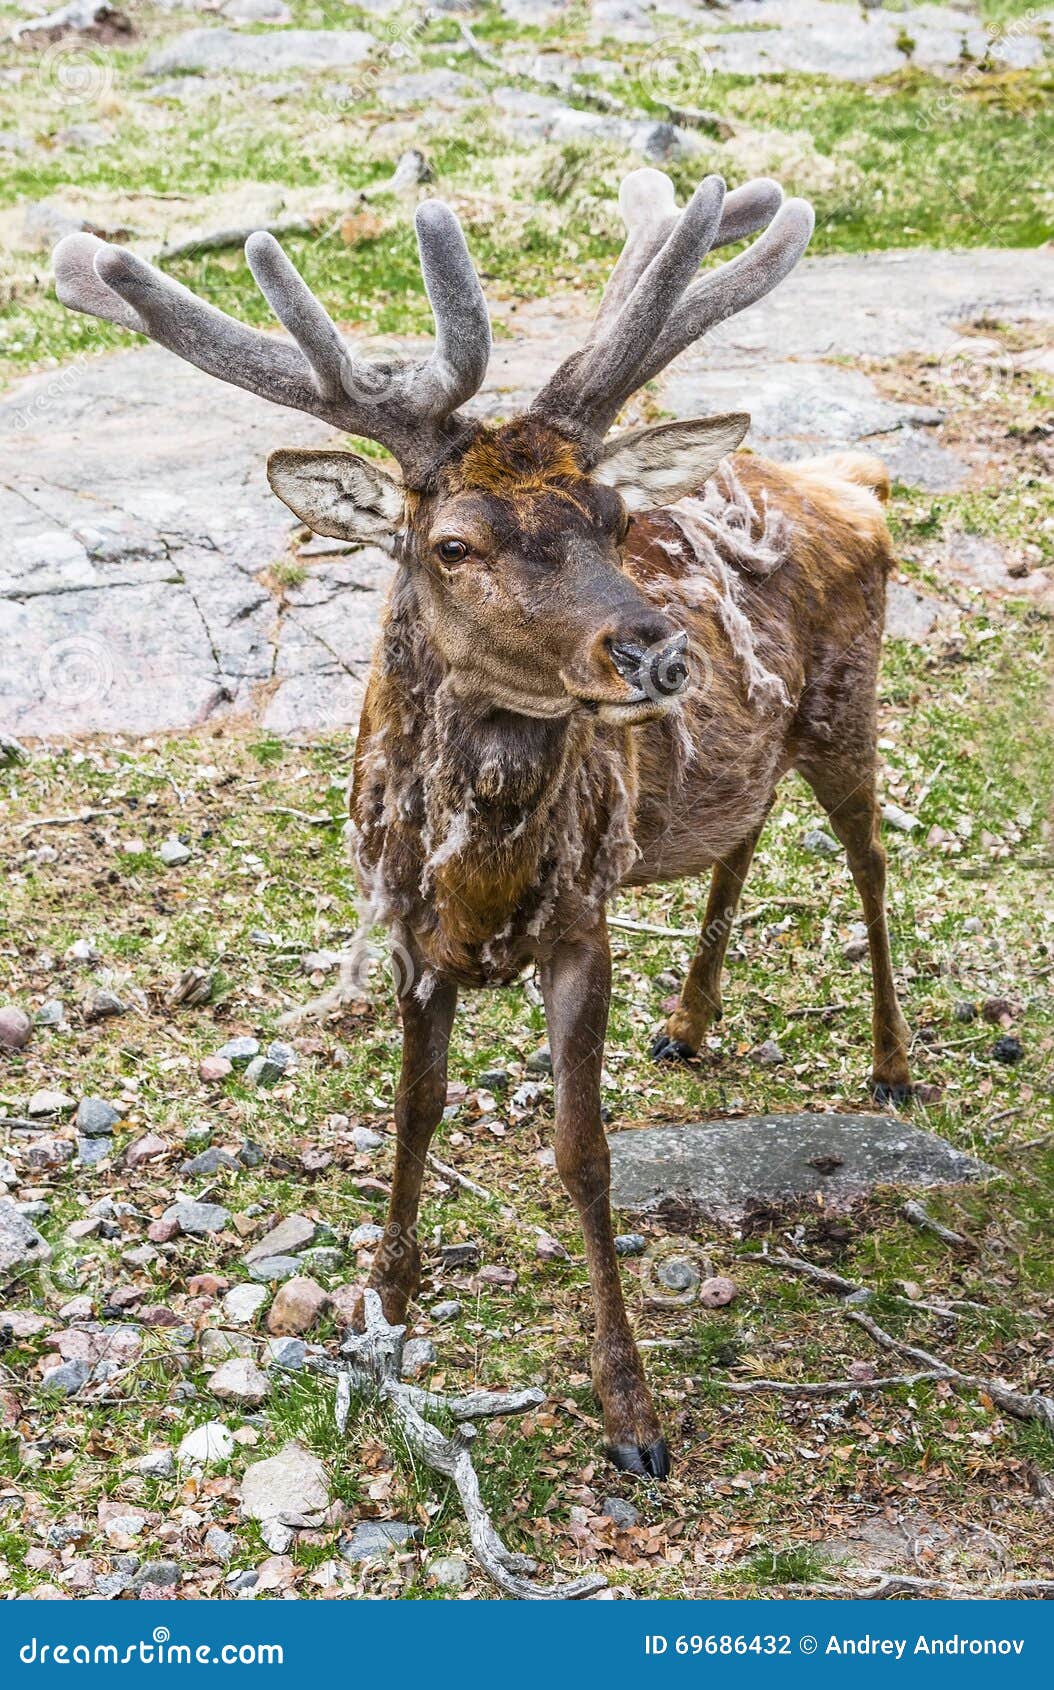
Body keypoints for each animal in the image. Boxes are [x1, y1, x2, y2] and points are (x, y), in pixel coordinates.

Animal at [54, 167, 912, 1479]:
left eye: (612, 517)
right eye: (451, 543)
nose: (657, 650)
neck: (483, 886)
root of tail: (854, 486)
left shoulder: (581, 922)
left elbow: (582, 1152)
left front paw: (631, 1411)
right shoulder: (409, 929)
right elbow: (409, 1115)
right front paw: (385, 1314)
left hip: (845, 703)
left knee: (868, 861)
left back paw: (890, 1064)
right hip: (743, 765)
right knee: (745, 835)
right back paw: (689, 1022)